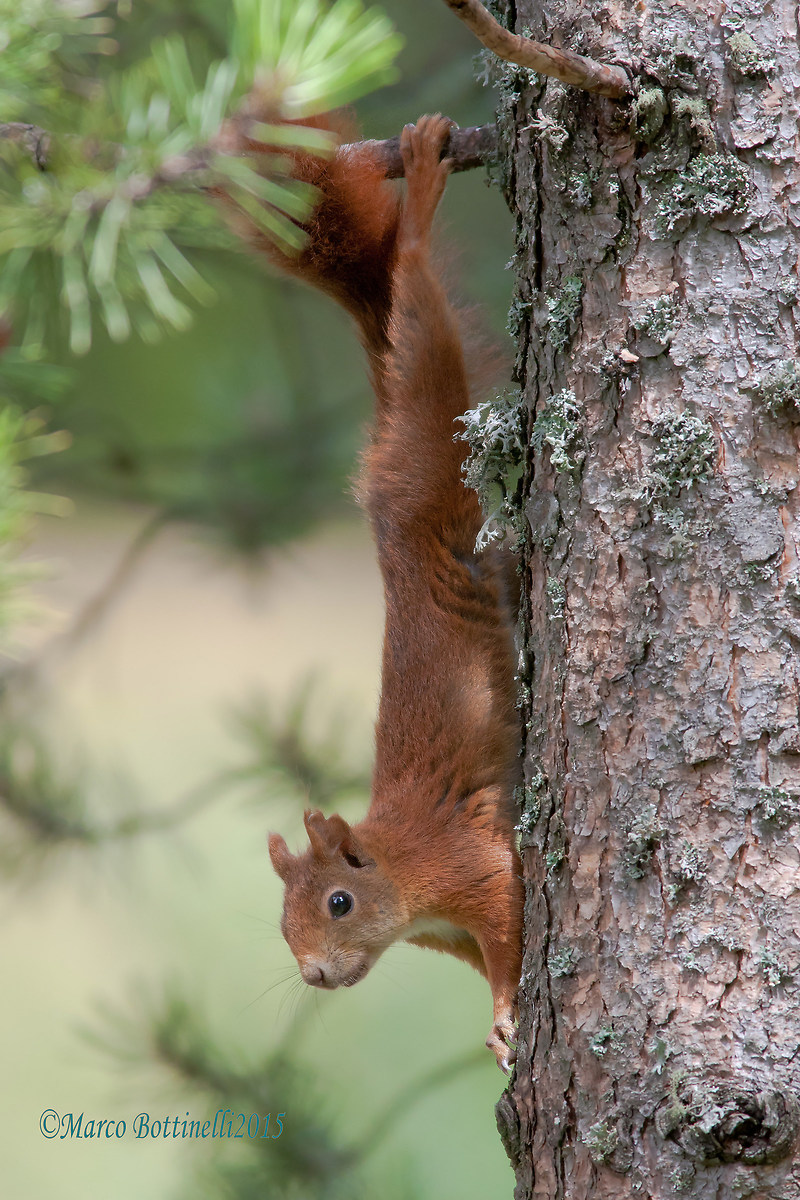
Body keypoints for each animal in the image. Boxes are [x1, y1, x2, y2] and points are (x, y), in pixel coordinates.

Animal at [240, 113, 523, 1072]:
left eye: (337, 902)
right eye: (280, 925)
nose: (316, 976)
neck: (398, 872)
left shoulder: (472, 866)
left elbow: (511, 933)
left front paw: (507, 1020)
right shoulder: (448, 932)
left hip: (434, 445)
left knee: (421, 311)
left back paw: (423, 204)